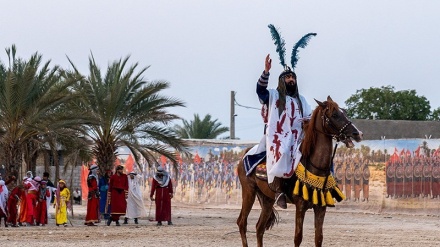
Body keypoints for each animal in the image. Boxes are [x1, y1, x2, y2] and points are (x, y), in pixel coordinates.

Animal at [237, 96, 364, 247]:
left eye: (344, 112)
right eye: (334, 115)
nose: (358, 133)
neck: (315, 166)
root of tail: (246, 153)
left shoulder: (321, 208)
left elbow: (319, 238)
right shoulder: (300, 206)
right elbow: (298, 237)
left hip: (267, 199)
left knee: (259, 228)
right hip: (248, 192)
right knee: (242, 223)